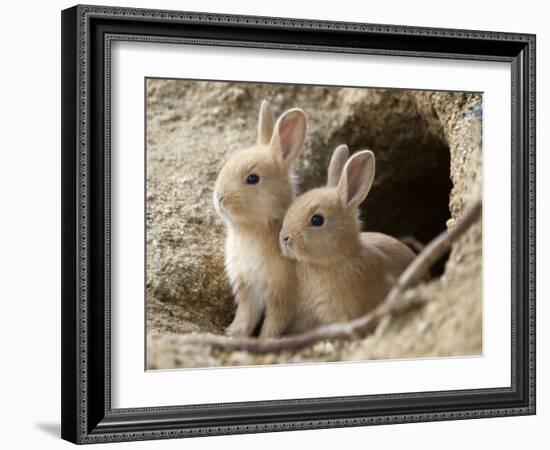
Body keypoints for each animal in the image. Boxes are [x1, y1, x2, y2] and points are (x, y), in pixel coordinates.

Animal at [213, 98, 308, 338]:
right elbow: (246, 315)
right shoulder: (246, 286)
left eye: (252, 178)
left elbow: (273, 322)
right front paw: (232, 333)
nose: (219, 197)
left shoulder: (281, 294)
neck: (251, 230)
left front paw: (265, 340)